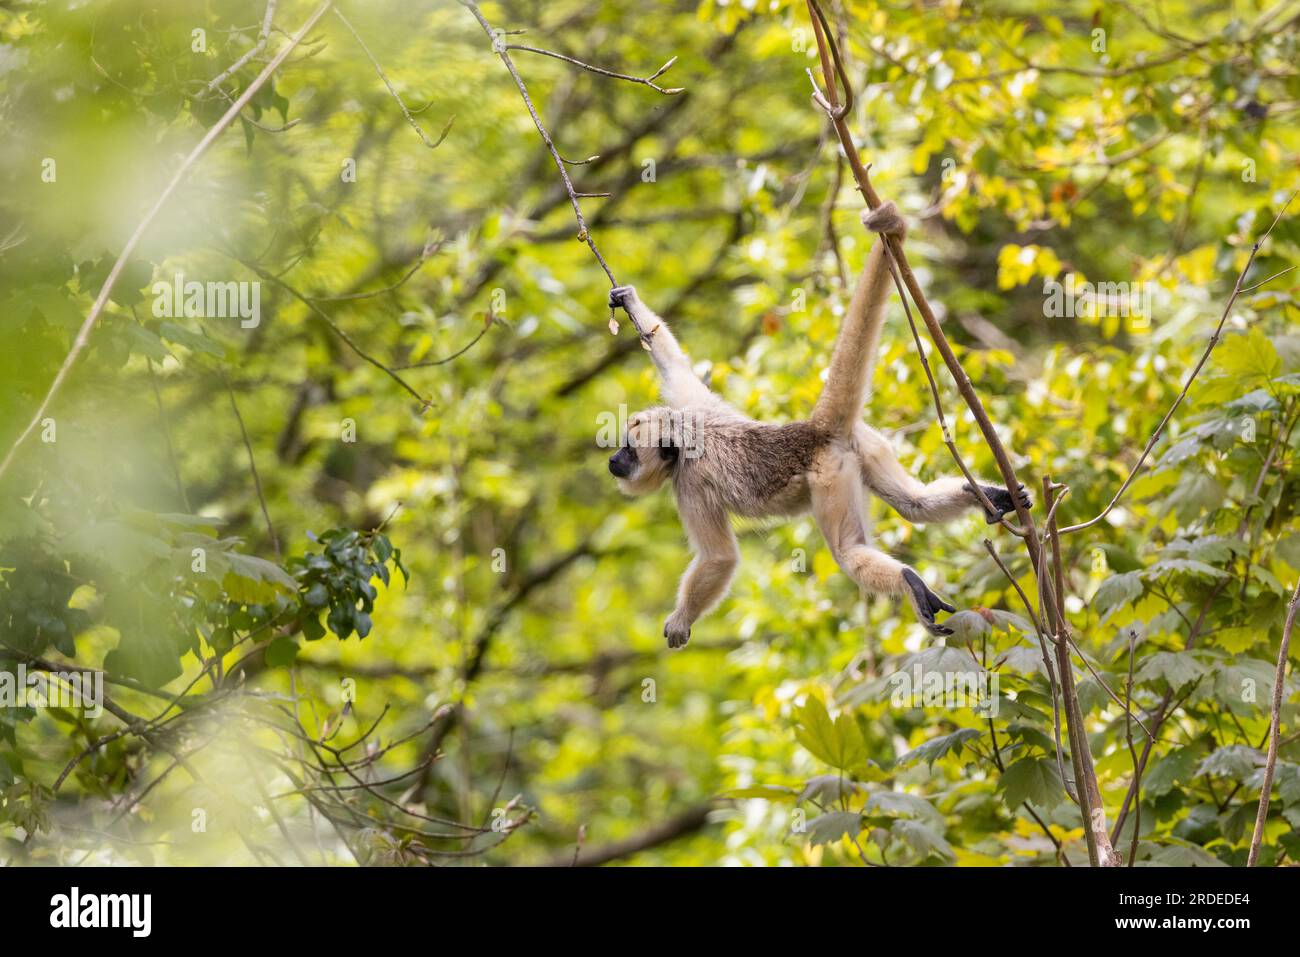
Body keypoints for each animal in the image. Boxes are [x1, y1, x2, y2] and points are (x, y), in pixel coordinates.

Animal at [603, 204, 1029, 650]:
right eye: (621, 444)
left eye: (630, 451)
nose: (613, 459)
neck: (689, 438)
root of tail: (814, 430)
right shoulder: (695, 408)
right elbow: (673, 363)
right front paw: (630, 302)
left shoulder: (690, 483)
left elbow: (720, 558)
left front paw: (681, 619)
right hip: (864, 446)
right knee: (913, 505)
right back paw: (987, 497)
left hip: (831, 474)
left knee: (848, 550)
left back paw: (908, 581)